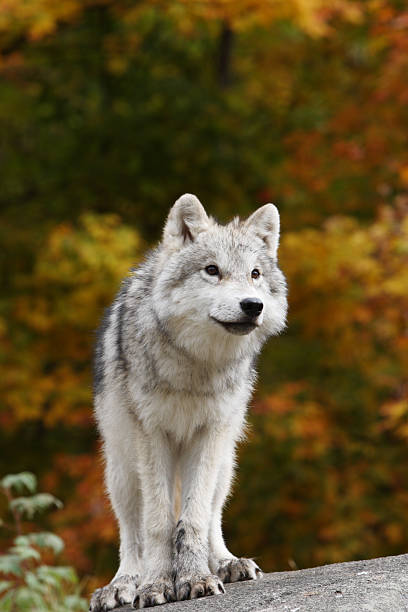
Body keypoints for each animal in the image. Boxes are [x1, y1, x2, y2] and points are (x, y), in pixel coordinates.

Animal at [89, 194, 286, 608]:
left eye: (255, 274)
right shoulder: (152, 436)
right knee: (131, 533)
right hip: (121, 470)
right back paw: (122, 583)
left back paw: (227, 562)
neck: (196, 365)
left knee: (212, 515)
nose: (253, 305)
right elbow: (158, 523)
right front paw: (155, 585)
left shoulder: (209, 435)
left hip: (226, 463)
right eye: (212, 270)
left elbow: (192, 519)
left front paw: (195, 578)